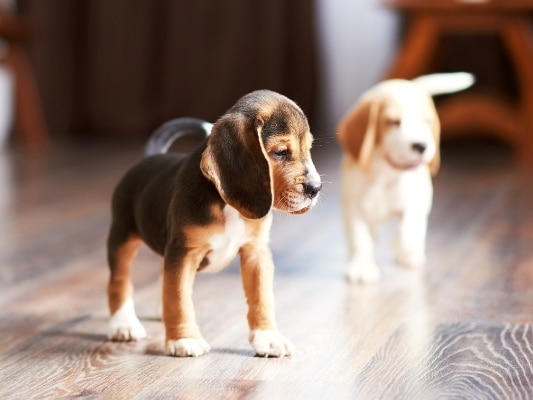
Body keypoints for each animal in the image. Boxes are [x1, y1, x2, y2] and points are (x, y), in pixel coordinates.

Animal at [104, 90, 320, 356]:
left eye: (308, 149)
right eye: (280, 152)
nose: (316, 188)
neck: (227, 206)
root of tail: (150, 157)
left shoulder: (256, 253)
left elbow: (262, 298)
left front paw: (268, 337)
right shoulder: (184, 253)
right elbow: (178, 298)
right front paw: (183, 339)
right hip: (122, 236)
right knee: (119, 281)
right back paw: (123, 323)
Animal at [336, 73, 474, 282]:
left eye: (427, 122)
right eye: (393, 122)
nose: (422, 146)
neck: (384, 174)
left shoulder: (416, 200)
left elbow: (409, 226)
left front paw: (404, 246)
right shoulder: (354, 208)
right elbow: (361, 239)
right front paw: (361, 266)